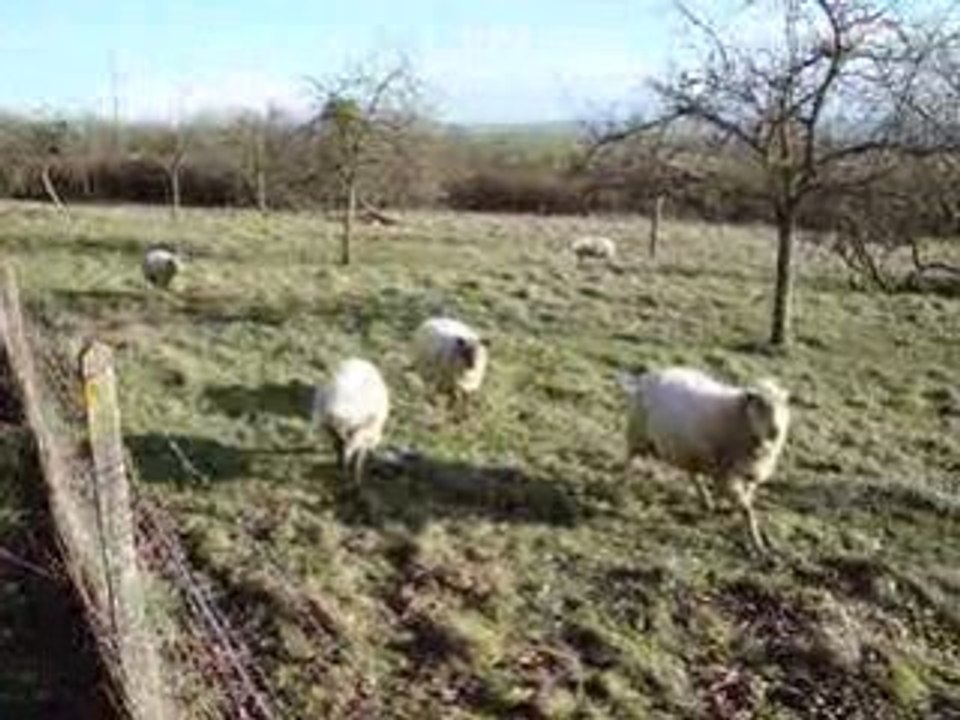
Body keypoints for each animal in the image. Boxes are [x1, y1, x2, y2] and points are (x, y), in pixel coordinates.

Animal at [617, 366, 791, 553]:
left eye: (782, 406)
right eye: (760, 405)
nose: (775, 431)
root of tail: (646, 377)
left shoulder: (746, 475)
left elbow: (746, 504)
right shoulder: (728, 473)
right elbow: (747, 510)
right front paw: (757, 543)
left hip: (687, 450)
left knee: (693, 475)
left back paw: (707, 501)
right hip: (638, 433)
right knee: (629, 458)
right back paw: (623, 485)